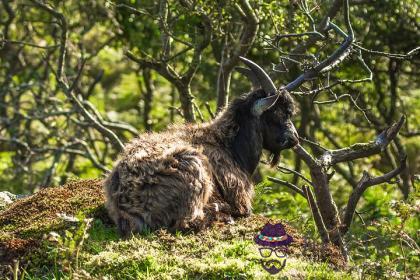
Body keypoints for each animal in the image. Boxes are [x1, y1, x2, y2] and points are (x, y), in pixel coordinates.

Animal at [106, 57, 300, 236]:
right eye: (278, 113)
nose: (294, 138)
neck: (227, 144)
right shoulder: (239, 195)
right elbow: (244, 211)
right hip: (196, 170)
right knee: (188, 222)